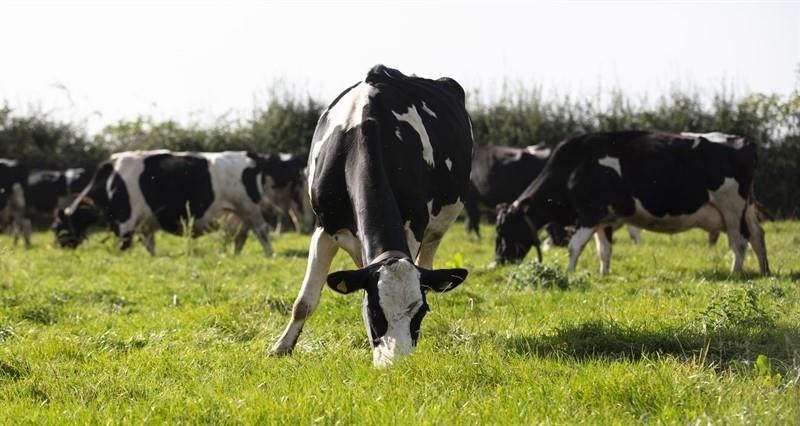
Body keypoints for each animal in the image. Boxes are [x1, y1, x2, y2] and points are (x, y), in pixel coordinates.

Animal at [53, 150, 300, 256]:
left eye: (58, 228)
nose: (57, 248)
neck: (111, 181)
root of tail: (250, 156)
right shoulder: (145, 222)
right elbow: (149, 244)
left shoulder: (126, 220)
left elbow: (125, 244)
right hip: (237, 213)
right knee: (242, 235)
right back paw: (234, 255)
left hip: (248, 208)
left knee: (262, 231)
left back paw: (269, 255)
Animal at [272, 65, 472, 367]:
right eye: (374, 311)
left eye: (421, 312)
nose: (395, 364)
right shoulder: (324, 229)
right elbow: (304, 302)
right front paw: (281, 347)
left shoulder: (412, 229)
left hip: (438, 226)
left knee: (428, 261)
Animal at [494, 130, 769, 275]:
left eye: (505, 229)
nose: (498, 261)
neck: (574, 167)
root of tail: (744, 141)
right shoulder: (604, 217)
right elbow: (603, 249)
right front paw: (604, 274)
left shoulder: (590, 213)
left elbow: (574, 246)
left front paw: (569, 274)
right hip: (745, 209)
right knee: (758, 236)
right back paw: (764, 271)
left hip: (731, 207)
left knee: (739, 242)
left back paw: (734, 273)